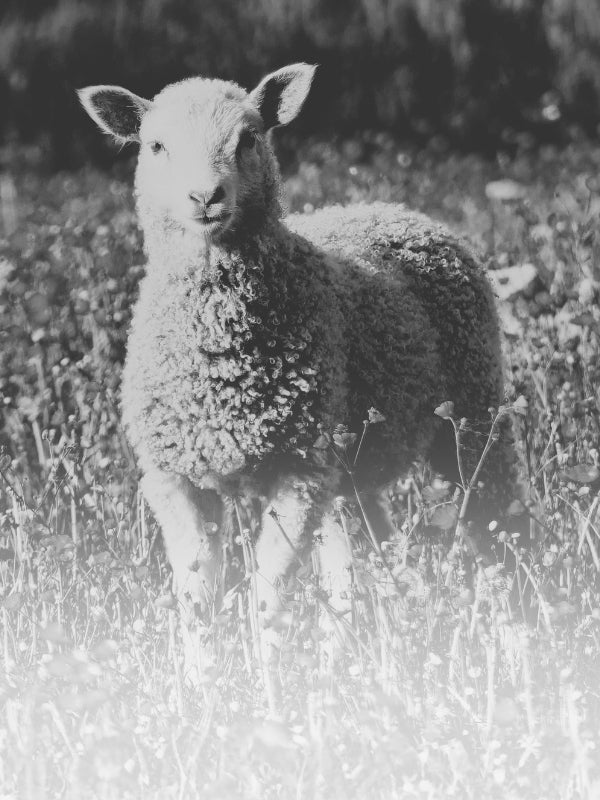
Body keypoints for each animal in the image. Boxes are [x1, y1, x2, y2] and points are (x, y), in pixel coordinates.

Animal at [79, 64, 507, 637]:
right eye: (156, 145)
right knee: (362, 554)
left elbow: (269, 595)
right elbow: (196, 599)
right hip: (350, 469)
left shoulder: (298, 471)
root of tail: (393, 208)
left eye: (249, 138)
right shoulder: (174, 477)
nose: (205, 197)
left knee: (498, 513)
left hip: (473, 411)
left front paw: (267, 659)